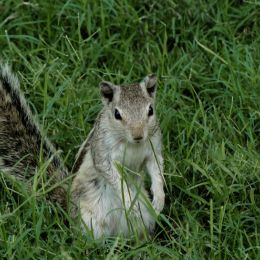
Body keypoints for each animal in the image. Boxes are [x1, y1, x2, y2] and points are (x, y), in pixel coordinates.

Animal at [0, 64, 165, 238]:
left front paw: (159, 198)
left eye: (150, 110)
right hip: (88, 220)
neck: (132, 144)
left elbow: (157, 169)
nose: (138, 135)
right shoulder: (102, 152)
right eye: (117, 114)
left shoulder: (153, 150)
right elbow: (112, 175)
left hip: (145, 217)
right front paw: (128, 200)